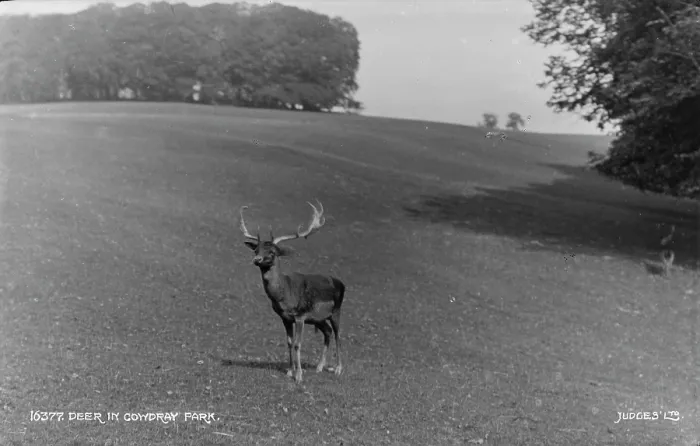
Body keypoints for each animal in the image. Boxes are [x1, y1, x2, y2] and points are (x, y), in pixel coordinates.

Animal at [239, 200, 345, 383]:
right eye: (256, 249)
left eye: (272, 252)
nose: (256, 259)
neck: (284, 296)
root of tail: (342, 283)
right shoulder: (285, 317)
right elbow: (289, 342)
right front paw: (290, 370)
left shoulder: (300, 315)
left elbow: (297, 344)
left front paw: (299, 375)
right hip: (318, 318)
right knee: (328, 332)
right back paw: (319, 366)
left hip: (336, 310)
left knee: (338, 334)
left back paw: (338, 368)